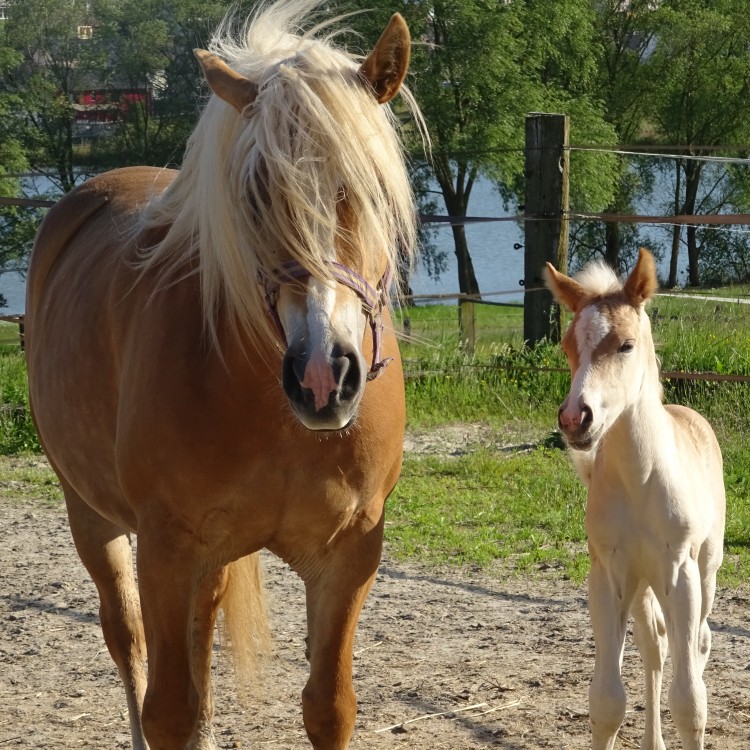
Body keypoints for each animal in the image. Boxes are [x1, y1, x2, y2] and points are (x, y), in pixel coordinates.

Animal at [23, 2, 426, 748]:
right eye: (257, 192)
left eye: (366, 188)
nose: (322, 377)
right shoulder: (166, 551)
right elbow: (169, 708)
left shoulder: (347, 556)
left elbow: (328, 706)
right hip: (92, 516)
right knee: (127, 639)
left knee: (199, 637)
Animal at [548, 251, 728, 750]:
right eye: (567, 346)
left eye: (626, 345)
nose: (575, 419)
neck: (639, 481)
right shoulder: (608, 577)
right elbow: (607, 701)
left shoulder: (680, 573)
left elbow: (690, 702)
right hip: (644, 584)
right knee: (655, 647)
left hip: (705, 570)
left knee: (698, 643)